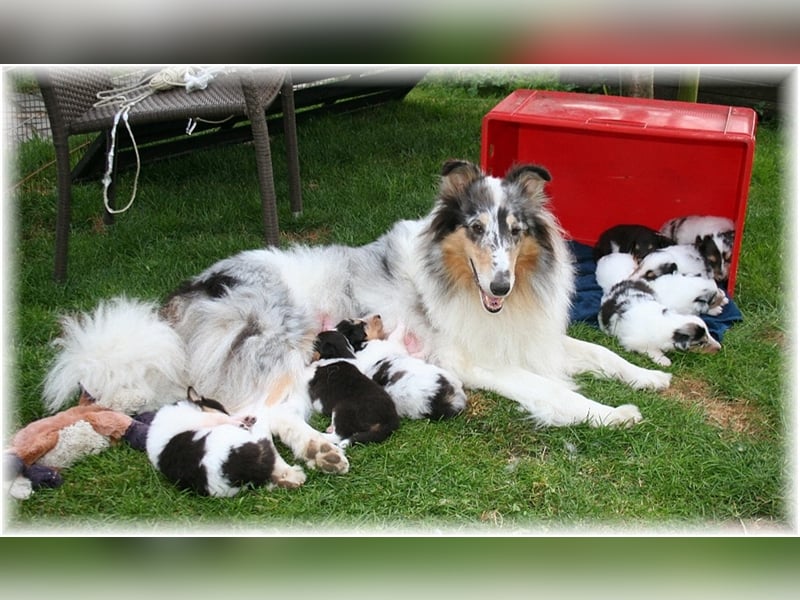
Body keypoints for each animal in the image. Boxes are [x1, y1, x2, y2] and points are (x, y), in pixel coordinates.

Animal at [43, 161, 668, 478]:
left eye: (514, 231)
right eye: (474, 228)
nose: (500, 286)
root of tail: (180, 300)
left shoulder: (534, 336)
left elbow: (600, 353)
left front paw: (650, 378)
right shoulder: (476, 360)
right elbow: (554, 393)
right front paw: (610, 414)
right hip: (284, 347)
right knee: (259, 415)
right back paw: (312, 454)